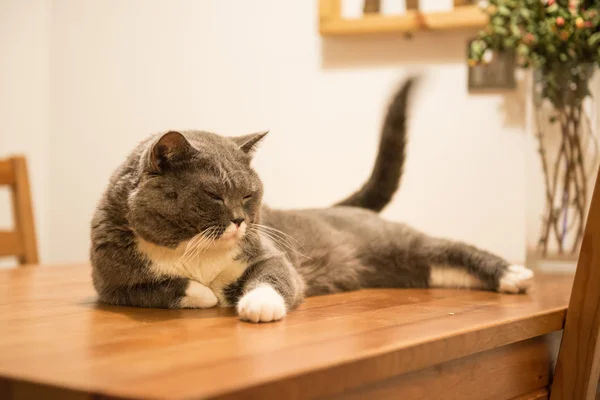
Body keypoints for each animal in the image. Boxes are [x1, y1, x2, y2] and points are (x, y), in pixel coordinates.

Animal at [91, 78, 532, 322]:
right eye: (214, 195)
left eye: (249, 195)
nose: (239, 220)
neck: (193, 250)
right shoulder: (111, 283)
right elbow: (160, 288)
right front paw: (205, 294)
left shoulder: (269, 255)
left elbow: (274, 276)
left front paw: (255, 304)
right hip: (411, 270)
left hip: (401, 244)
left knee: (452, 249)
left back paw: (514, 274)